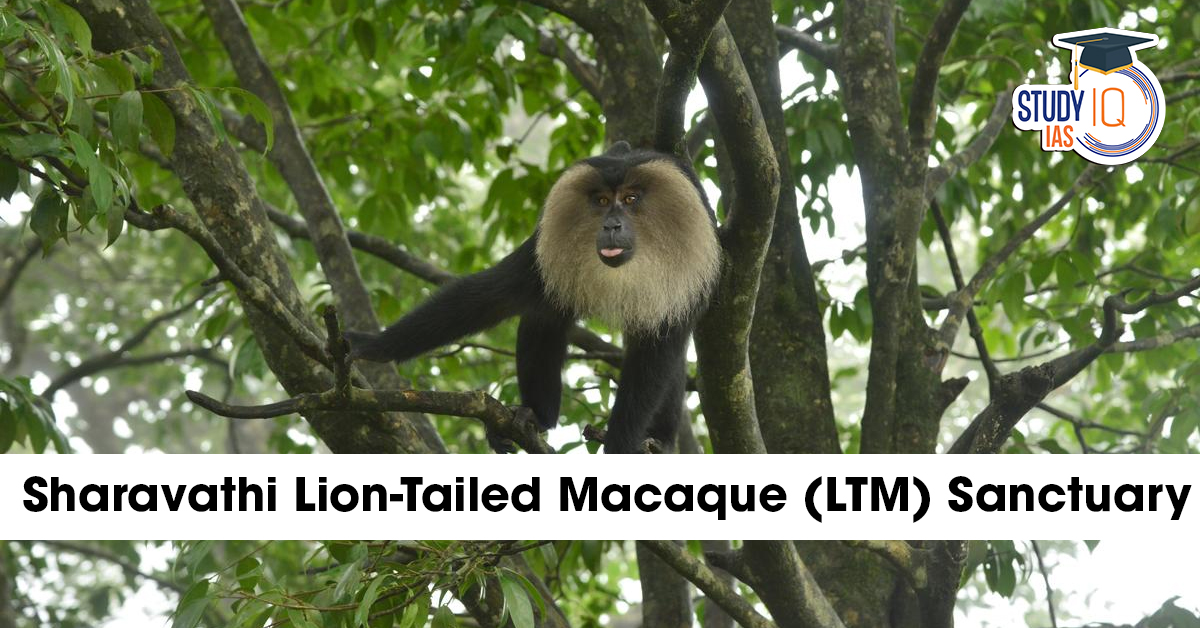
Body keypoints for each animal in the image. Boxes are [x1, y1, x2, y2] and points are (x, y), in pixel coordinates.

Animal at [344, 141, 721, 453]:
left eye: (630, 199)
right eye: (601, 201)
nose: (612, 225)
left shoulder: (685, 275)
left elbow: (658, 353)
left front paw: (620, 444)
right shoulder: (543, 250)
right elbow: (494, 294)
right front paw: (372, 346)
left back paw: (658, 440)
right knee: (544, 315)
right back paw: (535, 417)